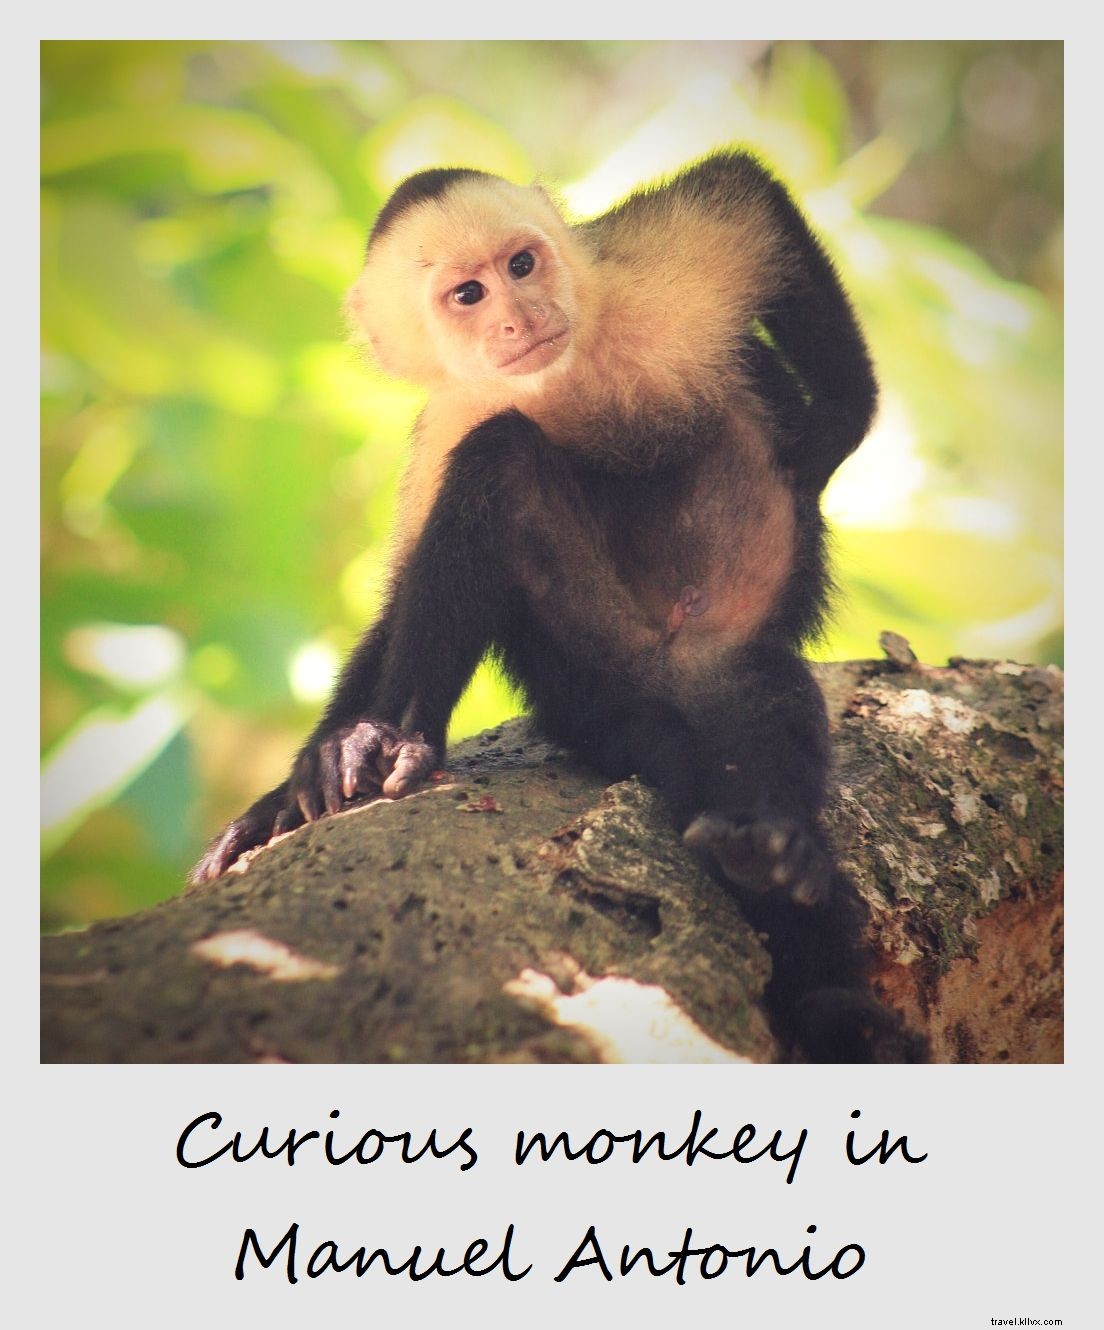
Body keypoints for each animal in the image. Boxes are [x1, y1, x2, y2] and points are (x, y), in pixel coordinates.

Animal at [191, 152, 925, 1063]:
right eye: (468, 295)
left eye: (522, 264)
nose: (518, 316)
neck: (567, 374)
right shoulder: (452, 413)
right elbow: (404, 594)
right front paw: (305, 780)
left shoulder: (654, 277)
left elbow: (746, 196)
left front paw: (837, 419)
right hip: (584, 672)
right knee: (496, 465)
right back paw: (397, 739)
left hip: (709, 660)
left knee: (758, 710)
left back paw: (792, 903)